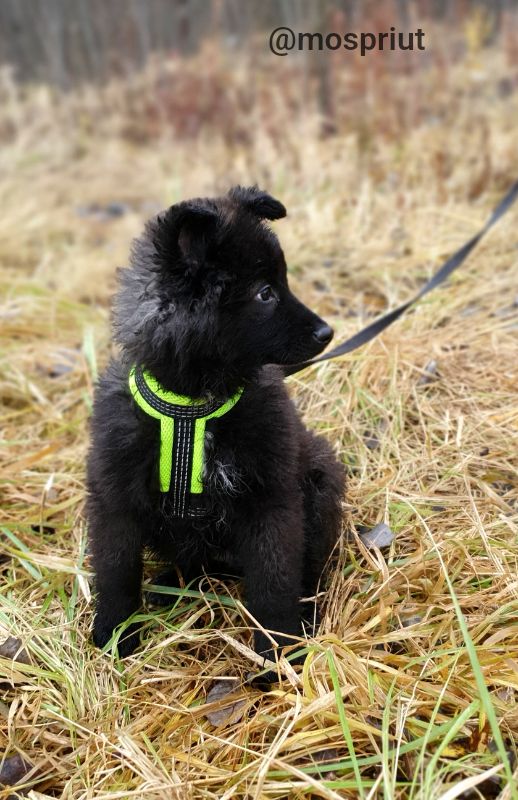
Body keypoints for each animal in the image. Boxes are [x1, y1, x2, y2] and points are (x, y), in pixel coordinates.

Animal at [86, 186, 346, 668]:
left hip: (320, 480)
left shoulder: (270, 499)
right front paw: (114, 636)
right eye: (265, 293)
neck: (193, 404)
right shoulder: (115, 496)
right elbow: (115, 572)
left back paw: (307, 612)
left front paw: (276, 653)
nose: (328, 333)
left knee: (309, 570)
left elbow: (274, 582)